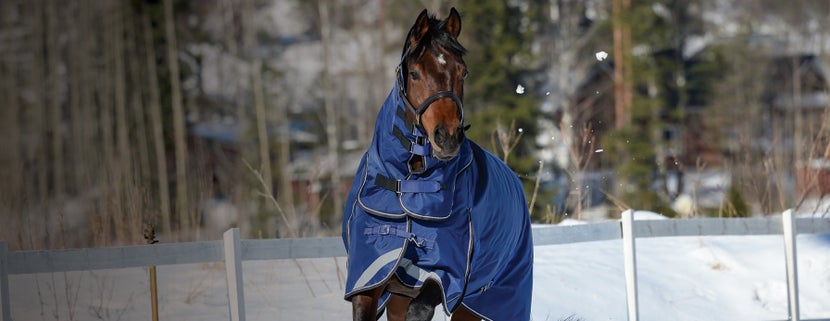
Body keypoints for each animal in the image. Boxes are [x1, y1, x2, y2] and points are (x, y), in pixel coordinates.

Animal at [342, 8, 532, 320]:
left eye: (462, 71)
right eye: (415, 73)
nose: (448, 137)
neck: (407, 182)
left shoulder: (445, 275)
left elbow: (421, 307)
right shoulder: (368, 278)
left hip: (478, 301)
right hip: (399, 296)